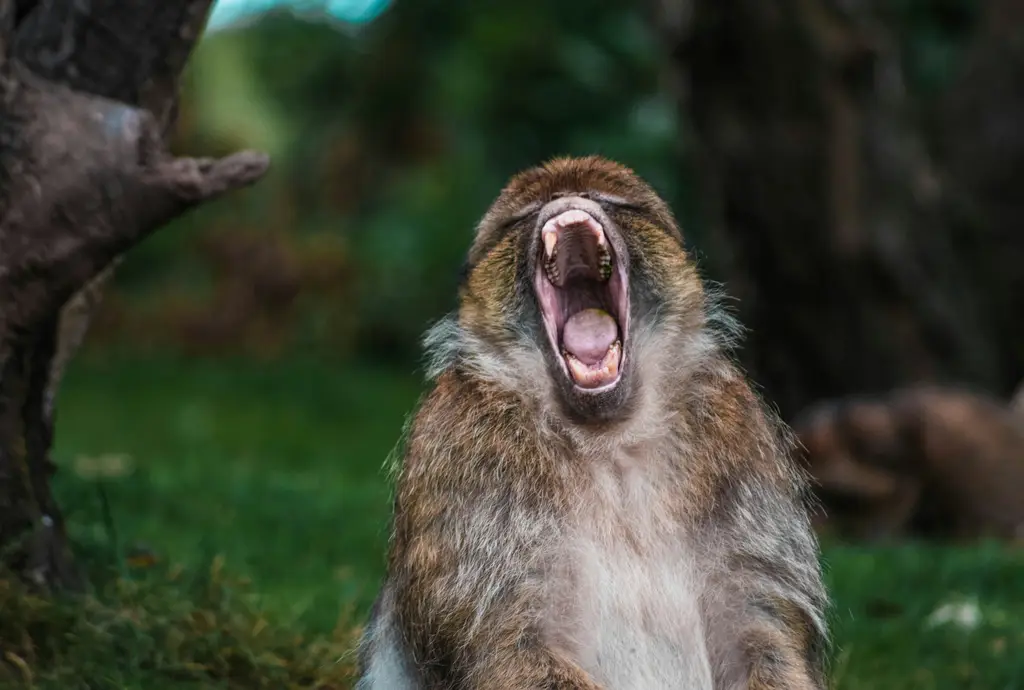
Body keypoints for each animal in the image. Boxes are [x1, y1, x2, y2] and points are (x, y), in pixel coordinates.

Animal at [356, 157, 827, 687]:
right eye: (525, 214)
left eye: (614, 201)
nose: (568, 200)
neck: (608, 439)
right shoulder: (459, 453)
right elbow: (508, 644)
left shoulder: (741, 439)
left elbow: (761, 631)